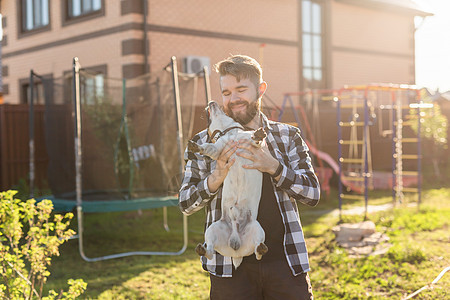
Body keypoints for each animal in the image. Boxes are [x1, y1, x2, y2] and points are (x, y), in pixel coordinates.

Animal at [189, 101, 268, 270]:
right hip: (212, 230)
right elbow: (206, 148)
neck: (232, 133)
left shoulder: (252, 146)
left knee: (258, 252)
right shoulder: (217, 150)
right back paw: (202, 249)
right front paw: (197, 148)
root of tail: (236, 248)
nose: (211, 101)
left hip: (257, 229)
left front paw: (257, 135)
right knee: (210, 251)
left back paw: (261, 248)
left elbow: (255, 141)